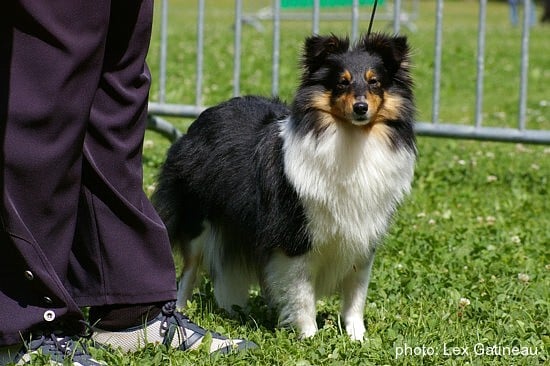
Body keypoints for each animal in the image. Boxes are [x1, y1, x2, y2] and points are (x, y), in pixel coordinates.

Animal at [153, 33, 416, 342]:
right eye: (342, 82)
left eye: (374, 81)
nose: (360, 108)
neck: (350, 137)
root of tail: (207, 115)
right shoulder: (295, 239)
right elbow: (302, 294)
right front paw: (309, 337)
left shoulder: (362, 236)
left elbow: (356, 293)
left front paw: (357, 337)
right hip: (197, 220)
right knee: (189, 270)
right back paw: (182, 311)